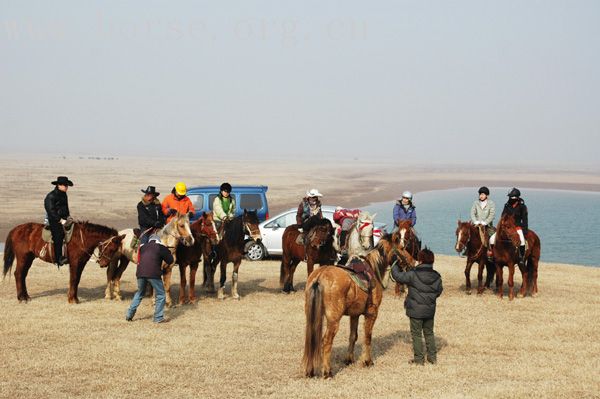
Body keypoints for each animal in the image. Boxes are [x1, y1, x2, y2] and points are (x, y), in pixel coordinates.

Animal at [304, 234, 404, 378]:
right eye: (401, 248)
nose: (404, 263)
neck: (373, 269)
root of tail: (319, 276)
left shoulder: (354, 315)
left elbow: (353, 336)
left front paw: (349, 359)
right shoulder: (372, 313)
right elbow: (367, 337)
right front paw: (367, 361)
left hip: (312, 316)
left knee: (312, 339)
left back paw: (310, 371)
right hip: (333, 320)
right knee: (326, 341)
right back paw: (327, 372)